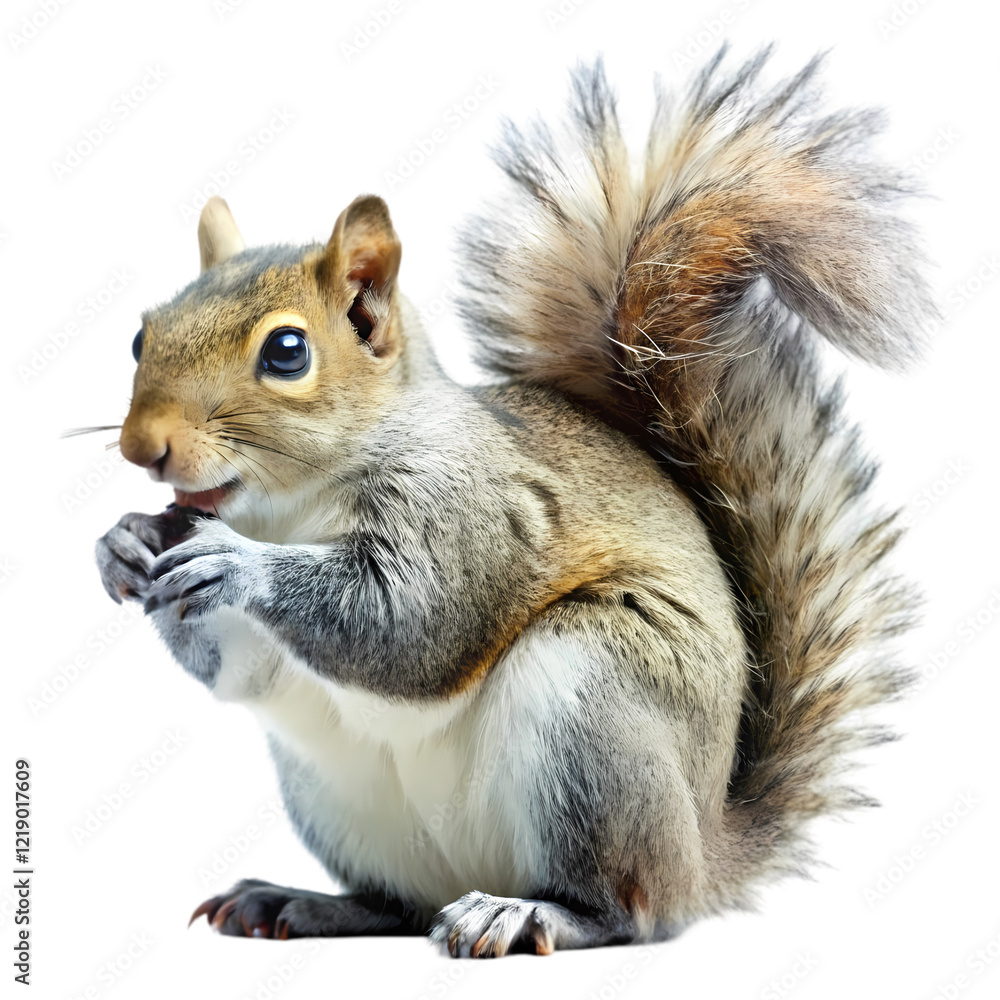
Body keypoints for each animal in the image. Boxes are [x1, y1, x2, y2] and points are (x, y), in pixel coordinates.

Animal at [93, 50, 934, 957]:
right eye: (141, 334)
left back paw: (531, 912)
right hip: (335, 793)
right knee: (402, 905)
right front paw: (124, 543)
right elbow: (241, 670)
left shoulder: (474, 508)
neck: (292, 507)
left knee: (629, 908)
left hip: (598, 710)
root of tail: (704, 848)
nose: (143, 448)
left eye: (287, 351)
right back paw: (304, 902)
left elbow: (412, 624)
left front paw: (235, 563)